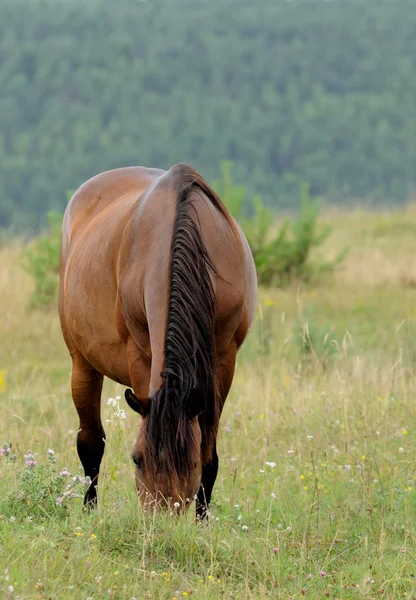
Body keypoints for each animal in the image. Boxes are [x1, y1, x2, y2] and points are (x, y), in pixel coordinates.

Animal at [58, 162, 256, 516]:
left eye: (190, 464)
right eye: (137, 460)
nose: (161, 520)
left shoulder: (224, 360)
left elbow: (210, 451)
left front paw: (203, 519)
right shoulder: (140, 354)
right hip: (82, 362)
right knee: (91, 442)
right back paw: (89, 509)